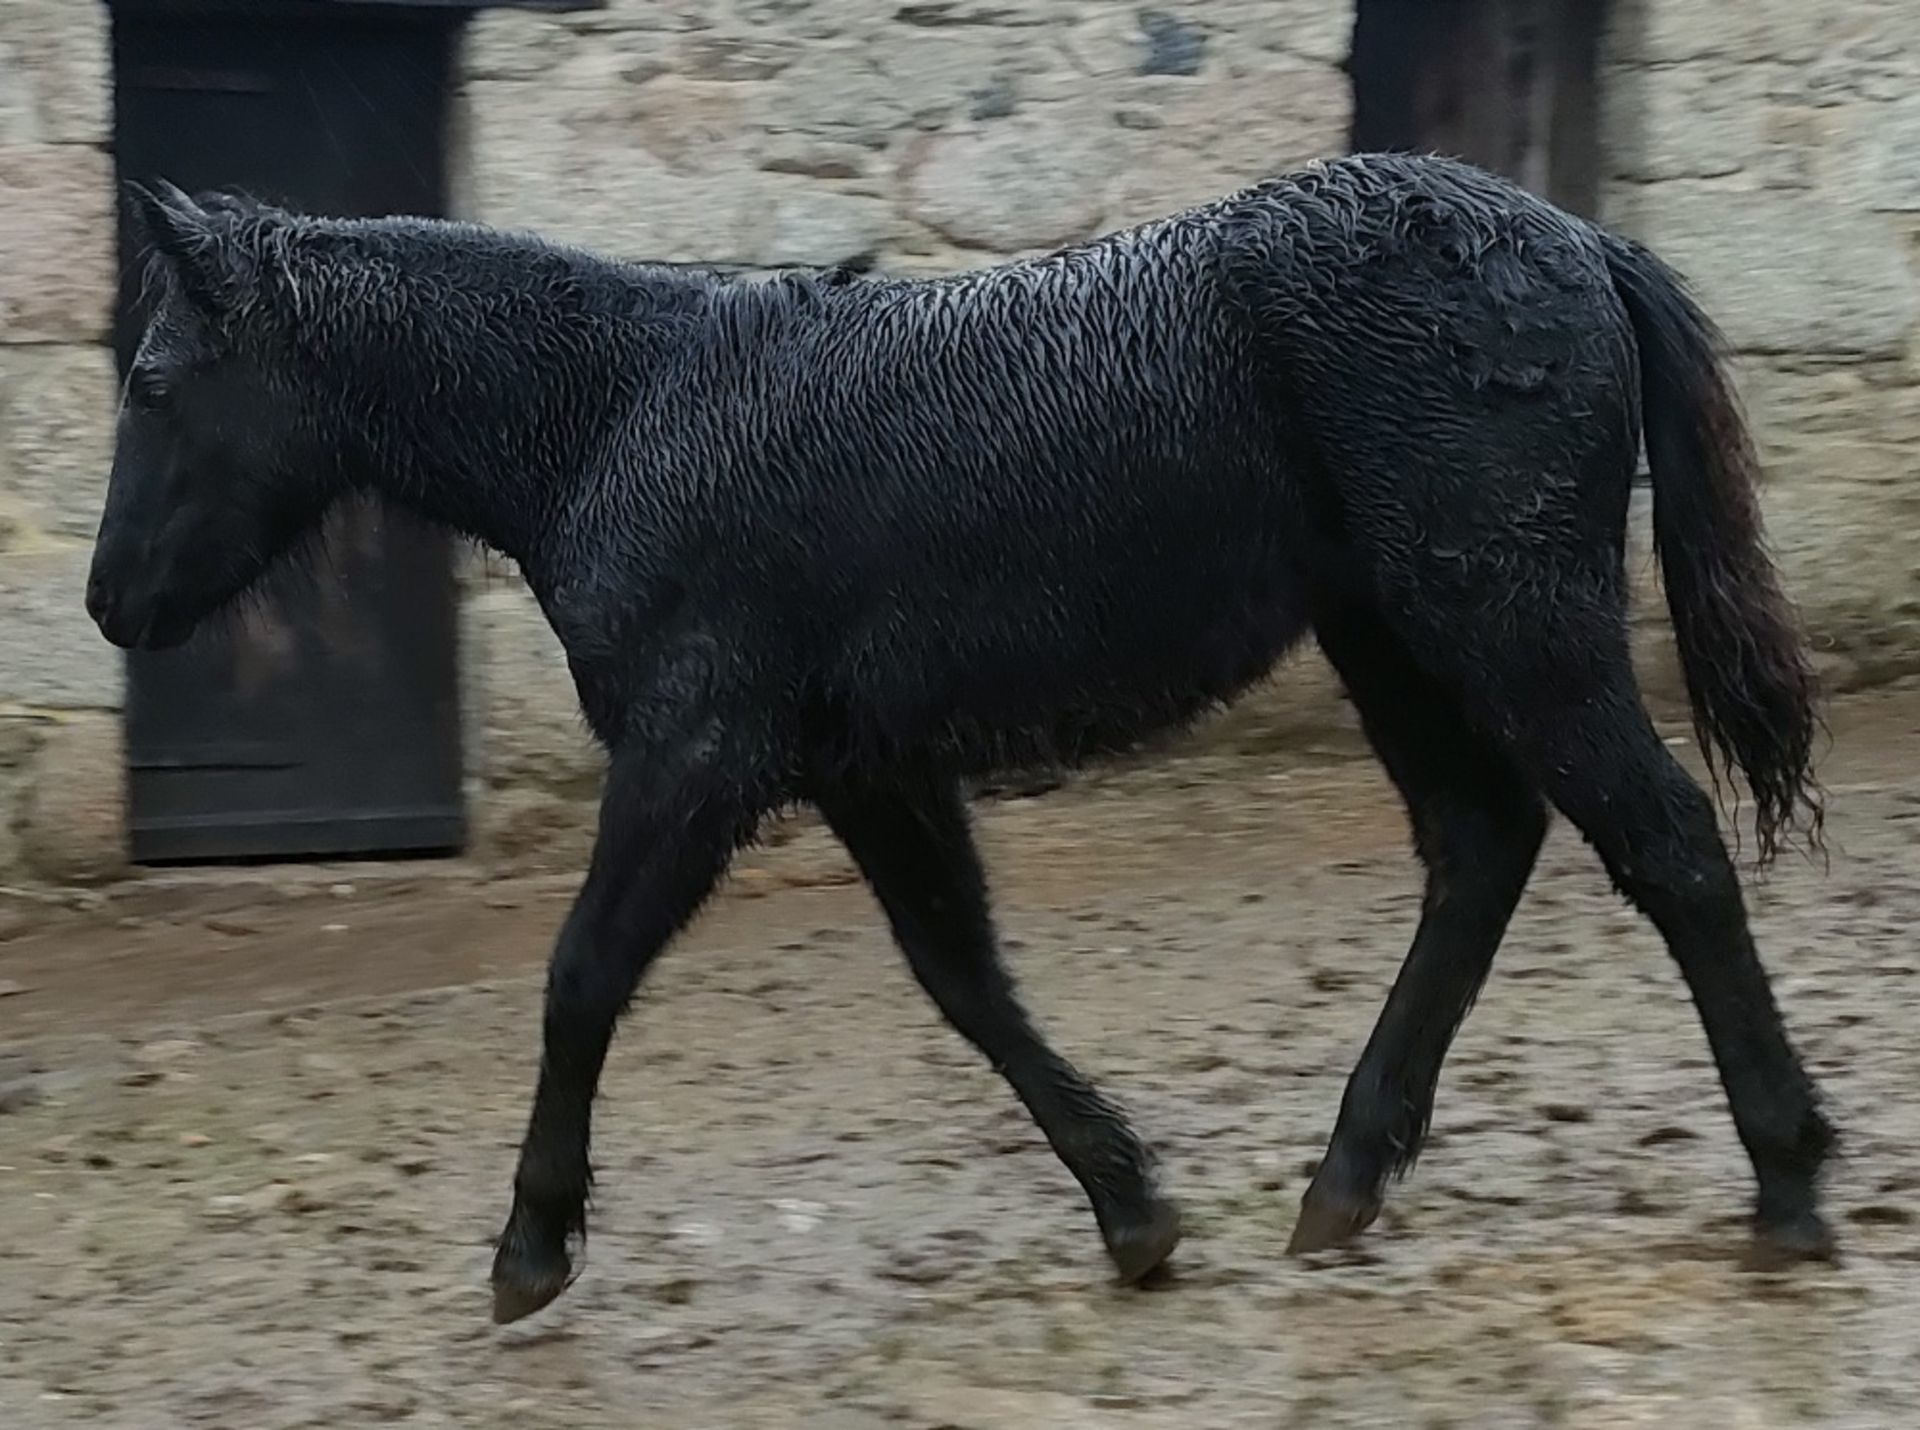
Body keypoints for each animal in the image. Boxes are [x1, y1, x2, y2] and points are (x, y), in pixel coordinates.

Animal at [86, 150, 1827, 1320]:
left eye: (157, 380)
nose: (110, 603)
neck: (628, 413)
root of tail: (1576, 239)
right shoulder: (870, 768)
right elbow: (965, 978)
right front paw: (1135, 1211)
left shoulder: (700, 748)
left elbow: (582, 975)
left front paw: (529, 1247)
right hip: (1391, 633)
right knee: (1482, 844)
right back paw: (1343, 1181)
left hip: (1507, 617)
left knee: (1665, 845)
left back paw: (1790, 1181)